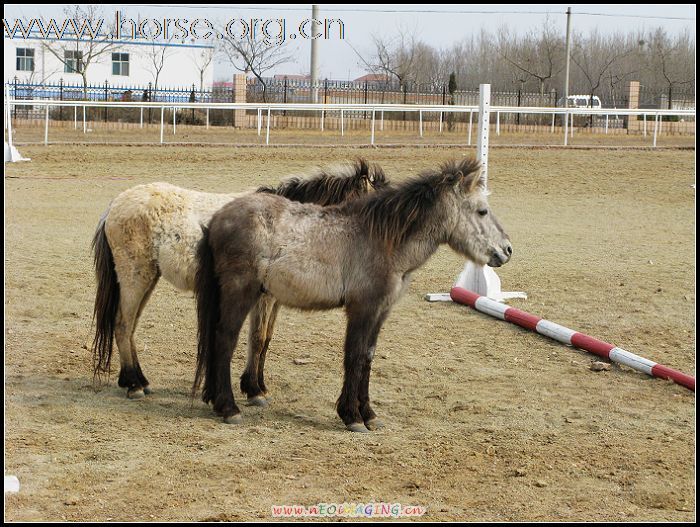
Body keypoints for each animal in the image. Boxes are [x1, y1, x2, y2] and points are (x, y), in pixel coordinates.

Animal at [89, 161, 386, 400]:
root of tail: (115, 204)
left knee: (130, 327)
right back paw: (134, 385)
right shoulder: (264, 297)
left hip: (148, 279)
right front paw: (253, 391)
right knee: (123, 325)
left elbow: (265, 338)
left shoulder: (273, 299)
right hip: (135, 277)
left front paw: (257, 386)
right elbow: (257, 337)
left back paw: (138, 380)